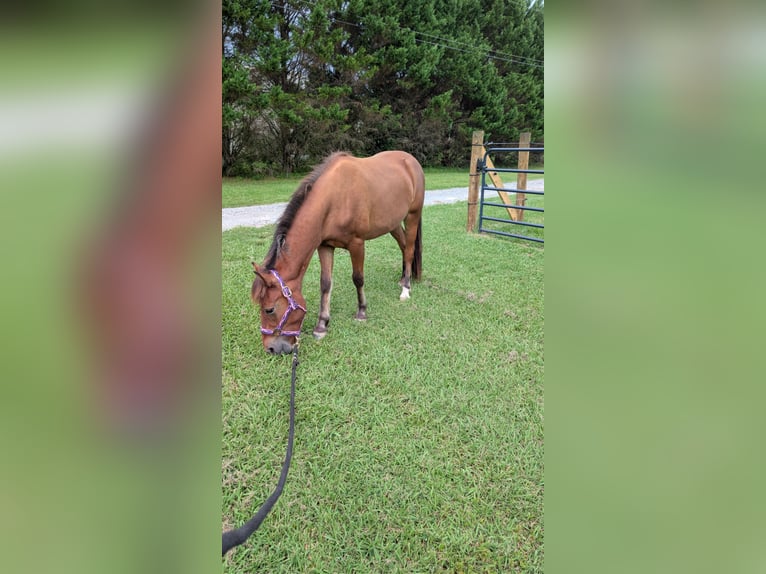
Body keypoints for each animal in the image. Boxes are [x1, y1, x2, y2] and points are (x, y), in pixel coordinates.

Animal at [251, 150, 425, 355]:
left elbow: (358, 279)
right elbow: (326, 283)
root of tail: (410, 160)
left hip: (412, 215)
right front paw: (321, 325)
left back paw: (406, 288)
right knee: (404, 247)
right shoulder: (325, 246)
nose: (271, 349)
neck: (333, 200)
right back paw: (402, 278)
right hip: (393, 223)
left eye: (269, 309)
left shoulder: (357, 244)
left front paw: (361, 312)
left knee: (410, 250)